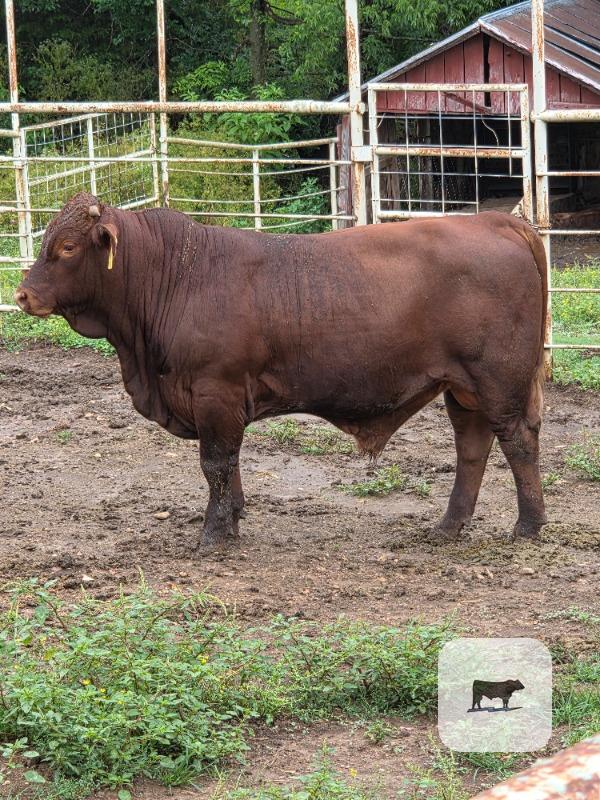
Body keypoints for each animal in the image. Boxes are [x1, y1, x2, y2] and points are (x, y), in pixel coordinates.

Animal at [15, 192, 548, 549]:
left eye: (66, 248)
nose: (22, 295)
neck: (177, 274)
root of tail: (495, 222)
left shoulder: (216, 391)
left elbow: (215, 463)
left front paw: (213, 534)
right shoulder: (219, 404)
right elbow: (228, 466)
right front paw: (232, 519)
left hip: (498, 382)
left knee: (518, 441)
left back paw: (528, 526)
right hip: (462, 388)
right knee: (472, 447)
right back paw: (449, 525)